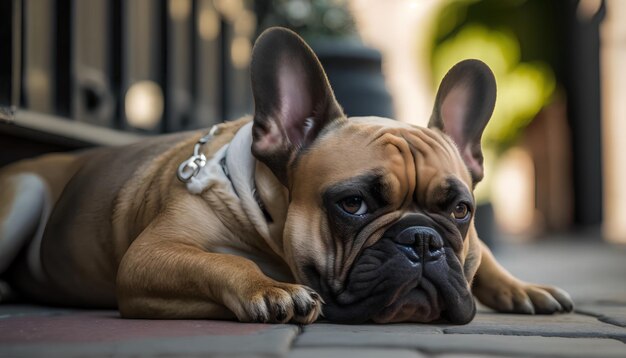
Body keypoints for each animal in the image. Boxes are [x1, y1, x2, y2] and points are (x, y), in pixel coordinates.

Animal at [0, 28, 572, 324]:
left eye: (459, 211)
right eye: (352, 204)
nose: (423, 240)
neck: (270, 233)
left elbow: (485, 256)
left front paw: (522, 286)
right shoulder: (152, 255)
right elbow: (221, 263)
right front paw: (271, 289)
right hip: (24, 193)